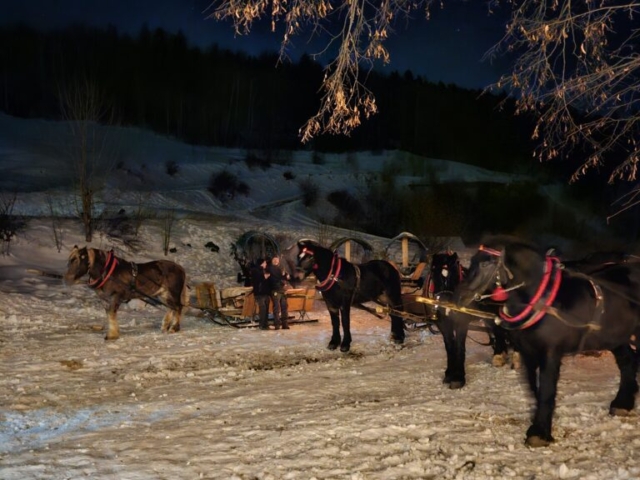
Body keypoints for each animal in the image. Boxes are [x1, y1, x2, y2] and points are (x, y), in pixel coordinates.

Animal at [424, 251, 520, 390]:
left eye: (454, 272)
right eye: (433, 270)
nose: (444, 303)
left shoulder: (462, 322)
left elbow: (459, 346)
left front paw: (458, 378)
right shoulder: (443, 324)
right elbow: (449, 346)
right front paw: (449, 374)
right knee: (498, 330)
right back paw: (499, 355)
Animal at [452, 234, 640, 448]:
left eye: (485, 264)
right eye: (472, 262)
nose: (459, 298)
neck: (542, 301)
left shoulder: (550, 353)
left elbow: (547, 390)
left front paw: (540, 433)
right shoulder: (528, 352)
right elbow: (534, 389)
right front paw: (539, 425)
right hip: (616, 337)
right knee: (628, 362)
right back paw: (622, 404)